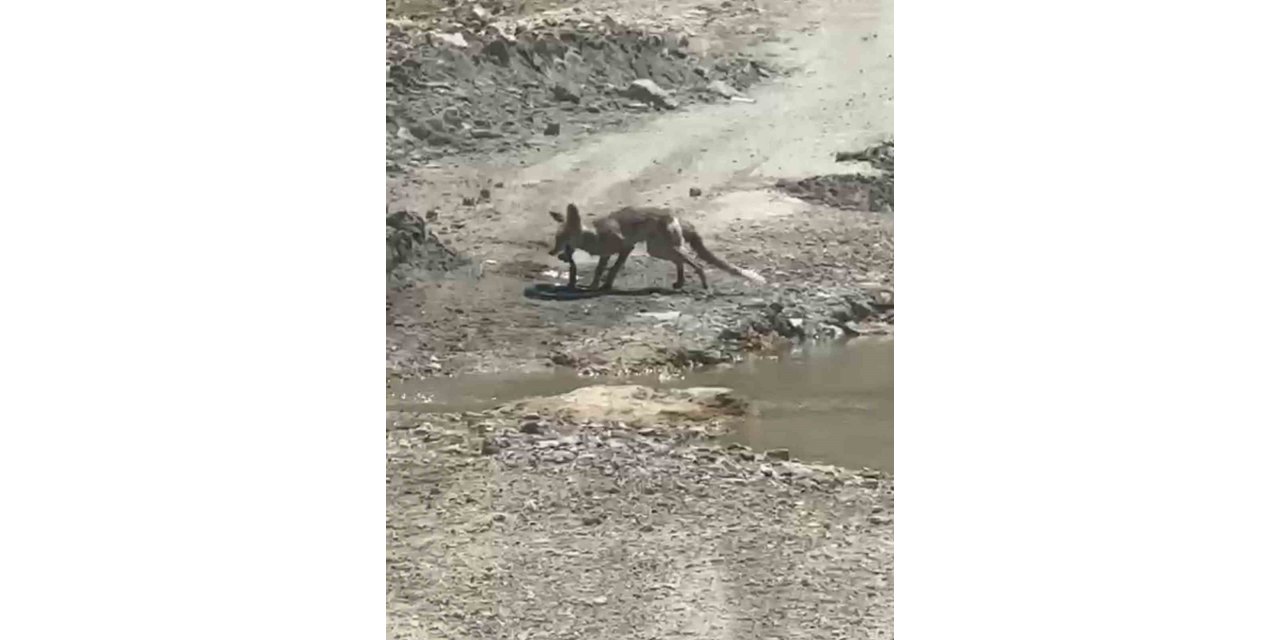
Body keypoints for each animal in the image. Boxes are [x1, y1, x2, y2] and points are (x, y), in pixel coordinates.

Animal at [545, 202, 762, 290]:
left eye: (562, 238)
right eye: (556, 239)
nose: (552, 252)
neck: (595, 236)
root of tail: (675, 216)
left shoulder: (624, 247)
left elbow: (608, 269)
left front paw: (598, 286)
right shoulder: (615, 252)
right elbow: (606, 270)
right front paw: (600, 286)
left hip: (661, 249)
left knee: (696, 264)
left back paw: (703, 284)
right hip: (659, 250)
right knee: (680, 263)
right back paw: (680, 283)